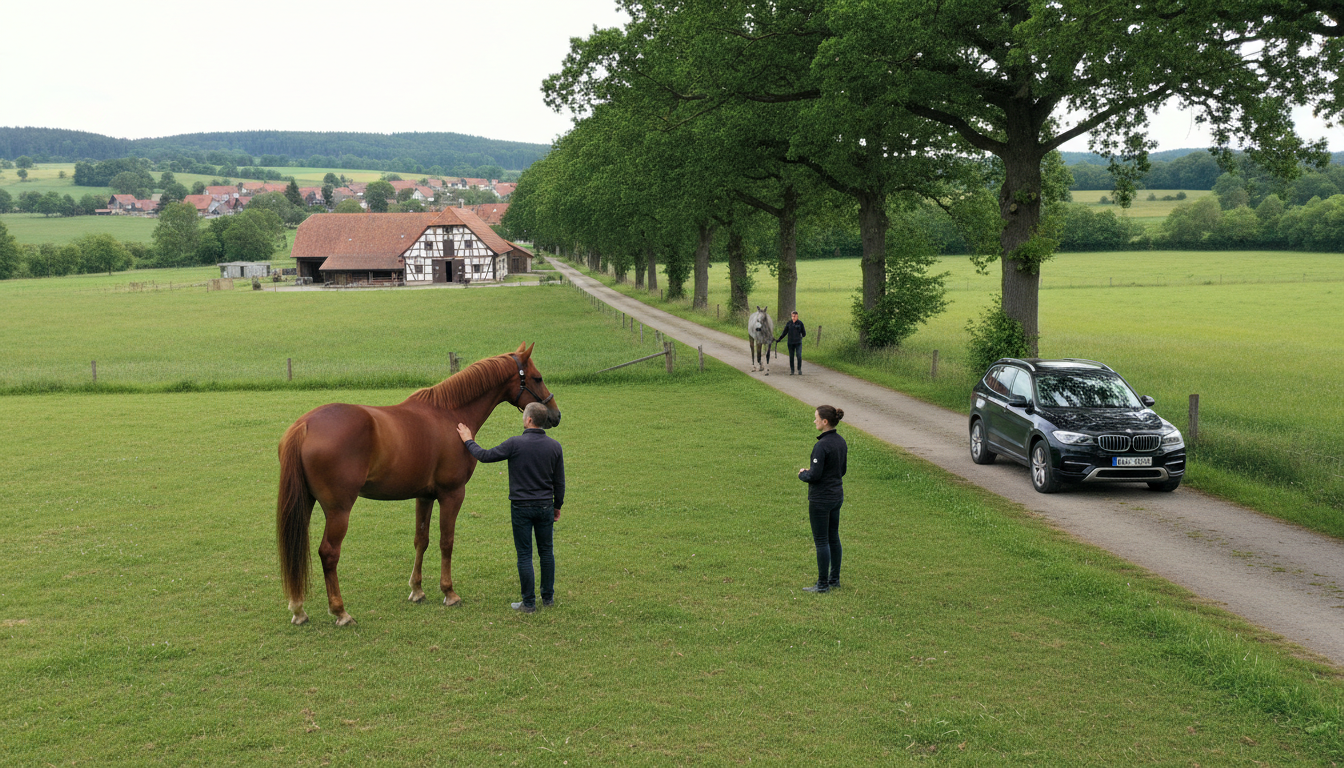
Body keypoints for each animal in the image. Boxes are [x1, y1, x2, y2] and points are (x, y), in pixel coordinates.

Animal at [275, 342, 561, 626]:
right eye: (537, 378)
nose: (555, 415)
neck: (449, 414)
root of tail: (305, 424)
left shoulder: (424, 496)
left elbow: (421, 539)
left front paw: (417, 590)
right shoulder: (452, 494)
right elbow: (446, 541)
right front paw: (449, 592)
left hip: (305, 503)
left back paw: (298, 609)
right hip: (338, 511)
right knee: (329, 553)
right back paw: (340, 612)